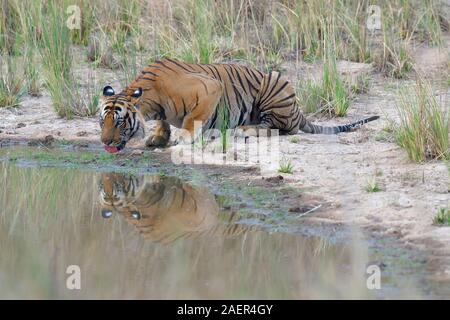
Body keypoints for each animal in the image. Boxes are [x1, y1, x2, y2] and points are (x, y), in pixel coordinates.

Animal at [99, 58, 380, 153]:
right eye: (103, 121)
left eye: (120, 122)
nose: (105, 142)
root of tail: (298, 110)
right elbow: (163, 120)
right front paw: (157, 137)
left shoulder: (209, 88)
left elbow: (193, 118)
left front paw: (183, 137)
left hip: (274, 82)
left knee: (280, 129)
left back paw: (243, 130)